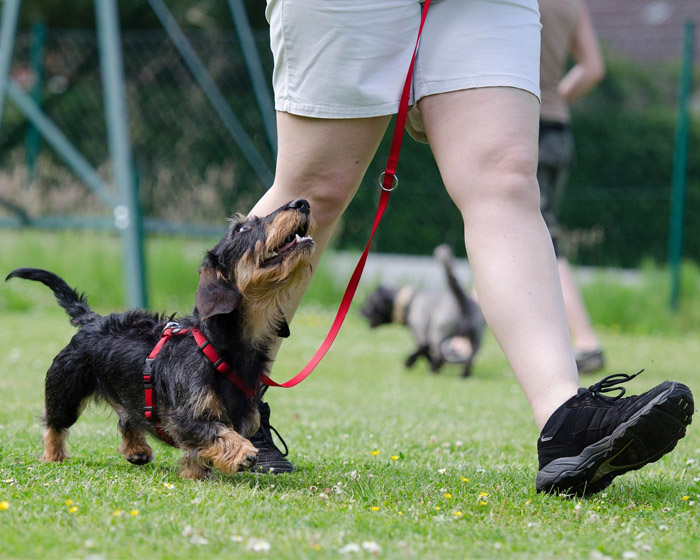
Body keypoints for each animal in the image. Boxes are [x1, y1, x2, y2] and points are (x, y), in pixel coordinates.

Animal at [5, 199, 316, 480]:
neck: (217, 346)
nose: (302, 203)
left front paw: (195, 473)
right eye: (241, 229)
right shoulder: (185, 417)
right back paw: (53, 455)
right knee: (54, 424)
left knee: (127, 418)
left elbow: (201, 449)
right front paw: (242, 452)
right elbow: (215, 433)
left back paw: (136, 450)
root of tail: (92, 320)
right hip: (66, 391)